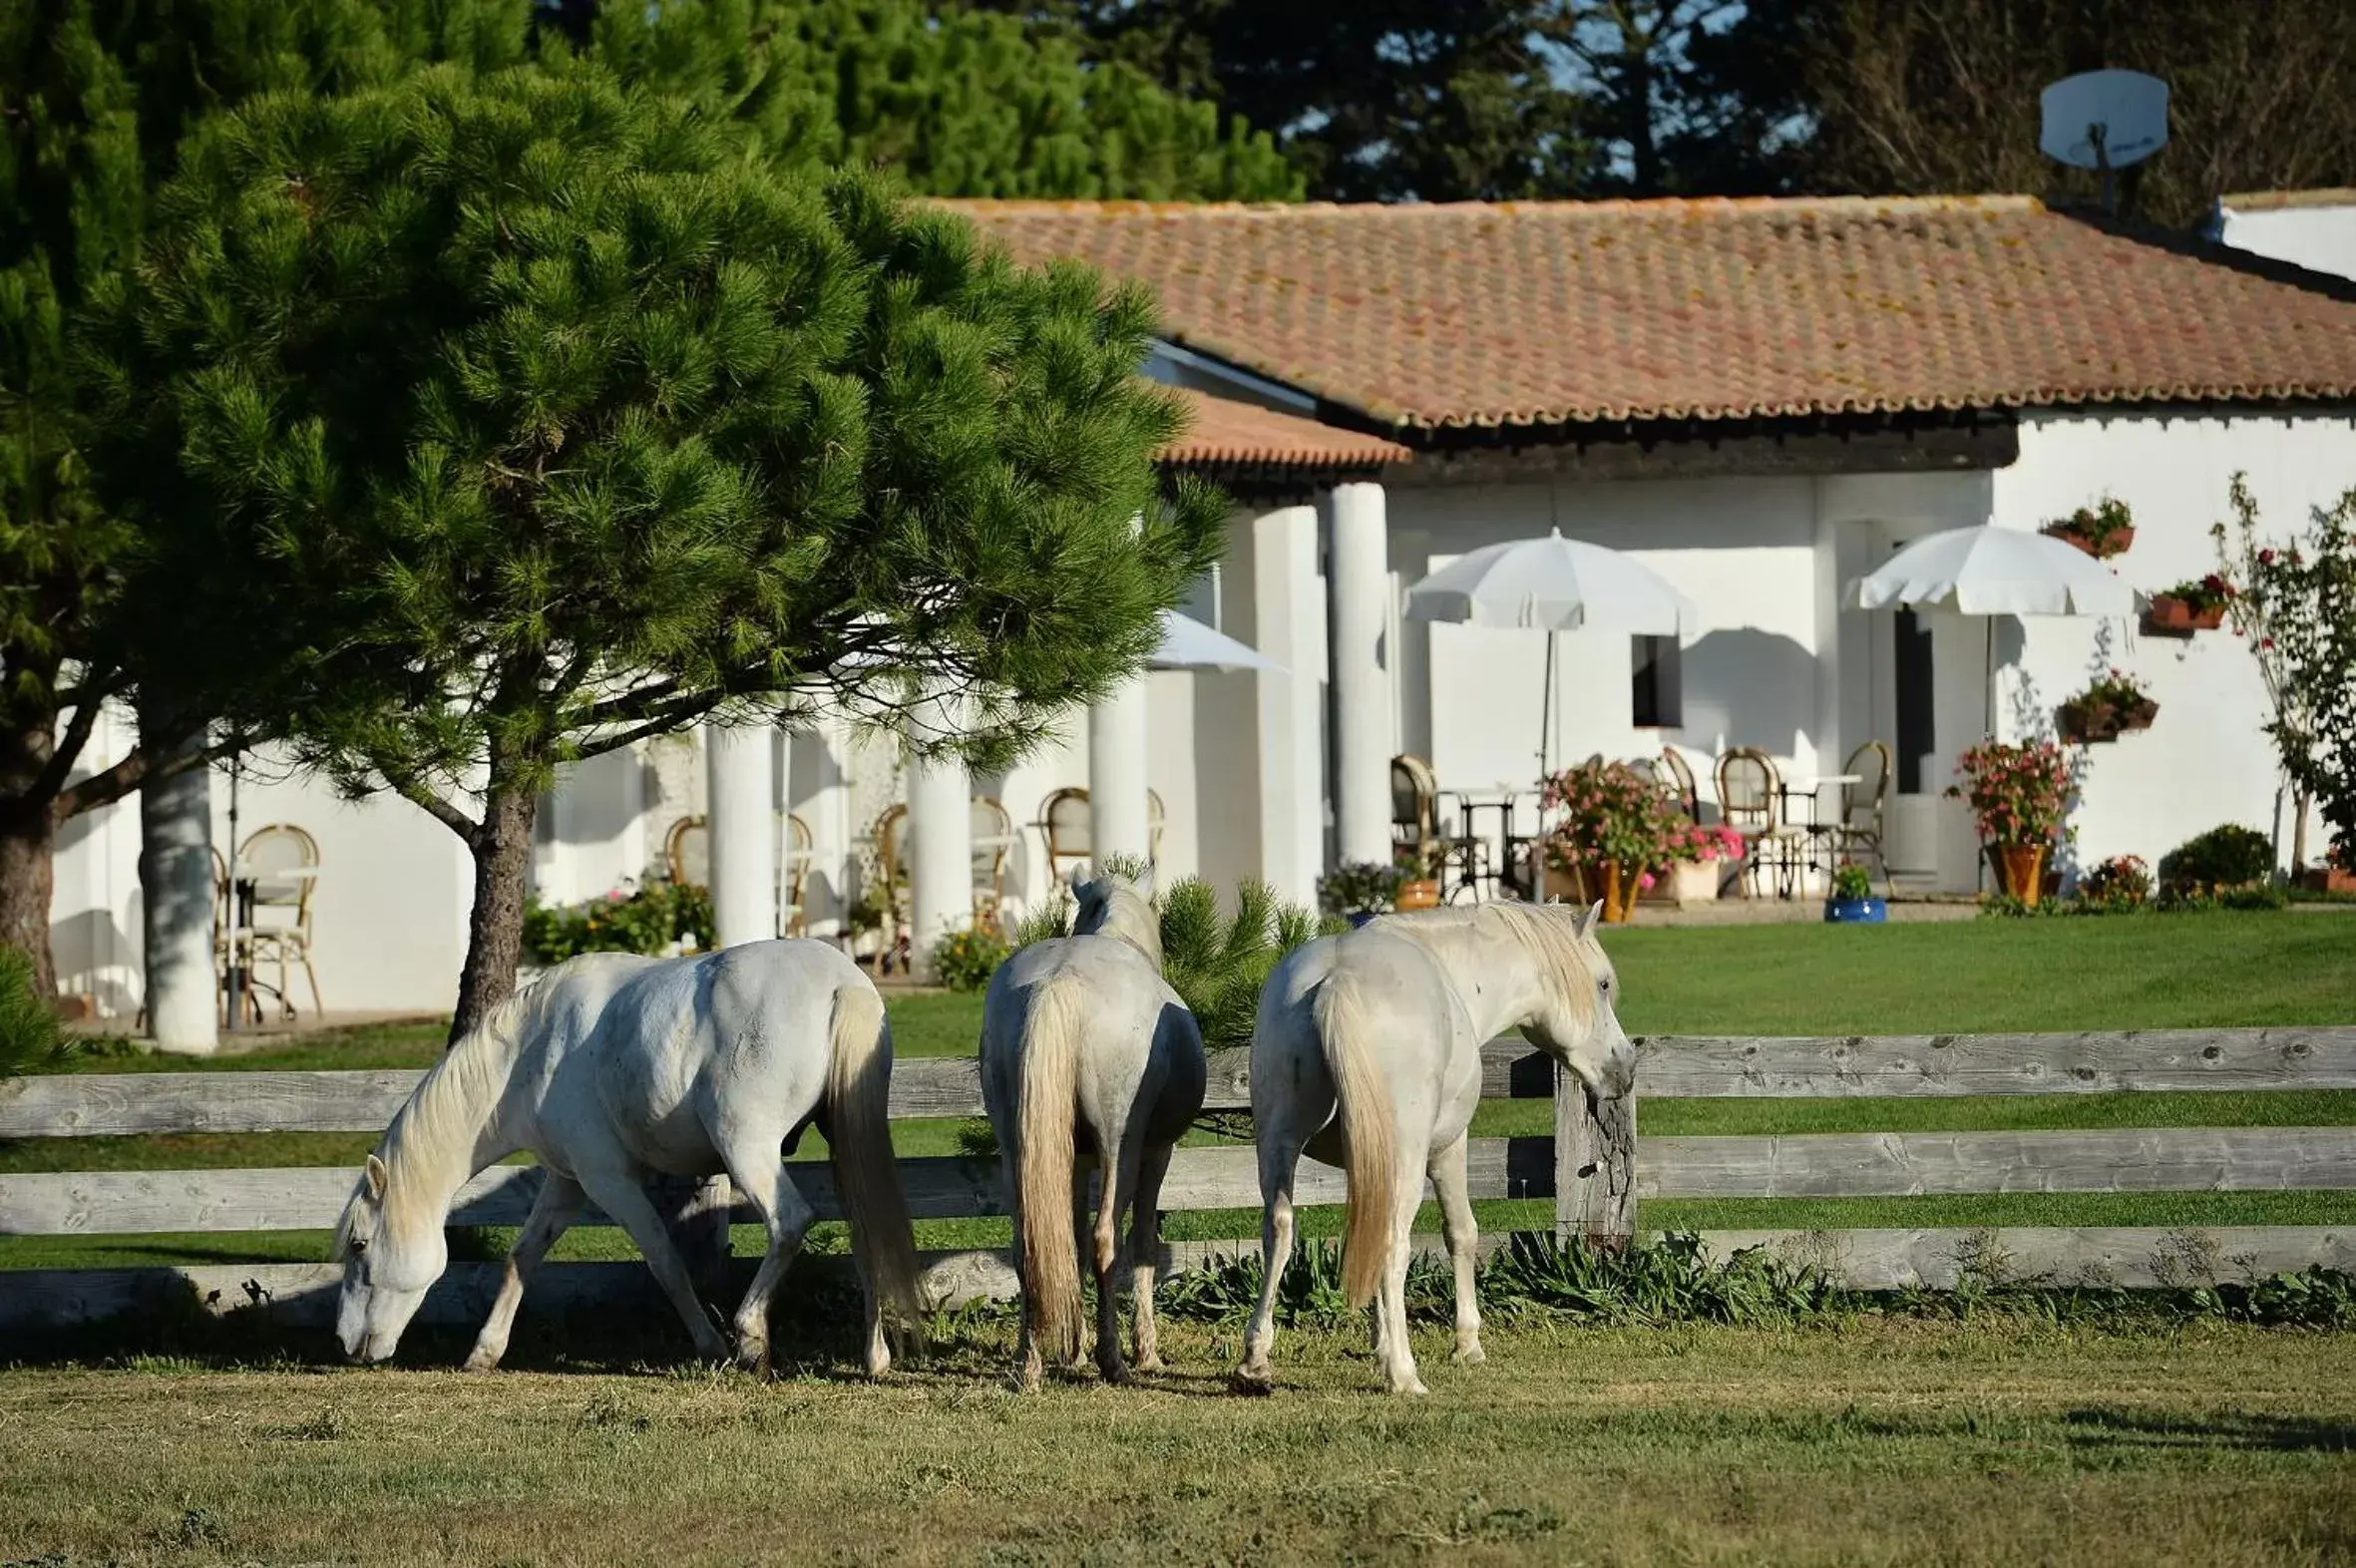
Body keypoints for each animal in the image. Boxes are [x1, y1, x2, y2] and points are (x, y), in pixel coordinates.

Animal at [332, 942, 919, 1366]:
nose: (345, 1343)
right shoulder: (567, 1181)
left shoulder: (608, 1181)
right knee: (864, 1231)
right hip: (841, 1140)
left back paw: (750, 1336)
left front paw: (711, 1345)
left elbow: (664, 1260)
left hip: (747, 1149)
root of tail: (842, 982)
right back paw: (874, 1356)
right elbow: (523, 1255)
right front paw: (485, 1351)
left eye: (359, 1245)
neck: (531, 1052)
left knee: (790, 1222)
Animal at [980, 861, 1206, 1383]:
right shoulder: (1155, 1153)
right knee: (1108, 1238)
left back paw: (1030, 1363)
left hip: (1018, 1146)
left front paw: (1073, 1349)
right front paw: (1146, 1351)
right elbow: (1141, 1243)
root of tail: (1059, 982)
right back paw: (1114, 1360)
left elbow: (1074, 1242)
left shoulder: (1077, 1159)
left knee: (1029, 1245)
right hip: (1119, 1145)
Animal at [1234, 899, 1639, 1383]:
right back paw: (1405, 1375)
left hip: (1278, 1145)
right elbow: (1461, 1233)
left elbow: (1364, 1236)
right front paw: (1465, 1343)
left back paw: (1255, 1358)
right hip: (1408, 1161)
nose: (1626, 1067)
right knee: (1395, 1242)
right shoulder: (1449, 1149)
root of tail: (1335, 981)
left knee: (1279, 1227)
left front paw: (1380, 1343)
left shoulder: (1365, 1164)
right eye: (1603, 983)